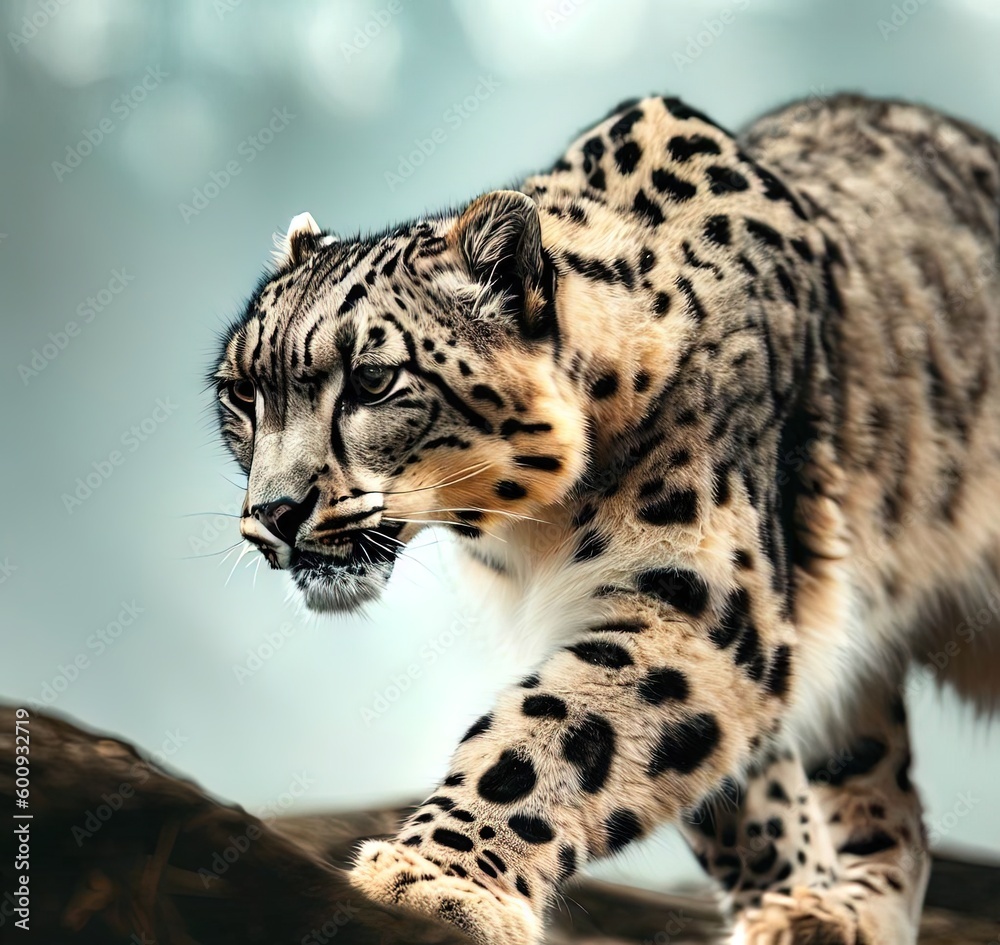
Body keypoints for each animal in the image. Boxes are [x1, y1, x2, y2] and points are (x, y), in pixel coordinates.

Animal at [212, 92, 1000, 944]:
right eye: (241, 392)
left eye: (373, 379)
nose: (275, 511)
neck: (533, 531)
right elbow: (749, 803)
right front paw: (792, 900)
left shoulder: (697, 607)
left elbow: (548, 735)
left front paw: (435, 882)